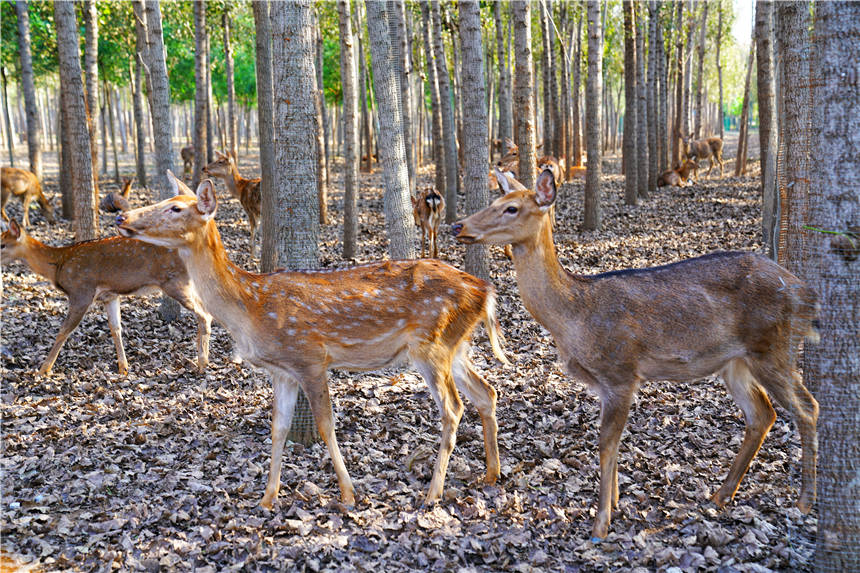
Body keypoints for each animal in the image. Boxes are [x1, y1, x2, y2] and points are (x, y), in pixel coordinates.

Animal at [1, 217, 212, 374]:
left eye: (2, 244)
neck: (58, 264)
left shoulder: (81, 291)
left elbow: (64, 331)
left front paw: (43, 370)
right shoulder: (110, 295)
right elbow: (115, 328)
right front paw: (123, 368)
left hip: (175, 282)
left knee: (204, 314)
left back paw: (202, 362)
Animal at [118, 171, 510, 510]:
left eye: (176, 208)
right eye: (167, 200)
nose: (122, 217)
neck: (250, 308)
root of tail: (486, 291)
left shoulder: (309, 357)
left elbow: (325, 425)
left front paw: (348, 494)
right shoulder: (281, 370)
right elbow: (278, 428)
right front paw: (267, 498)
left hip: (431, 344)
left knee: (453, 408)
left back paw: (433, 492)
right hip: (457, 345)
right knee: (486, 392)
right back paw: (491, 474)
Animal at [450, 168, 820, 540]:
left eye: (511, 208)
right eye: (495, 200)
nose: (458, 225)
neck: (574, 316)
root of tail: (808, 295)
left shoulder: (621, 371)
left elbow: (605, 443)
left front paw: (600, 523)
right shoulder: (603, 384)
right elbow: (612, 444)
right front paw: (614, 502)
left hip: (774, 348)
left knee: (807, 407)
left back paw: (804, 502)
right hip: (735, 362)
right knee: (762, 414)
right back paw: (720, 496)